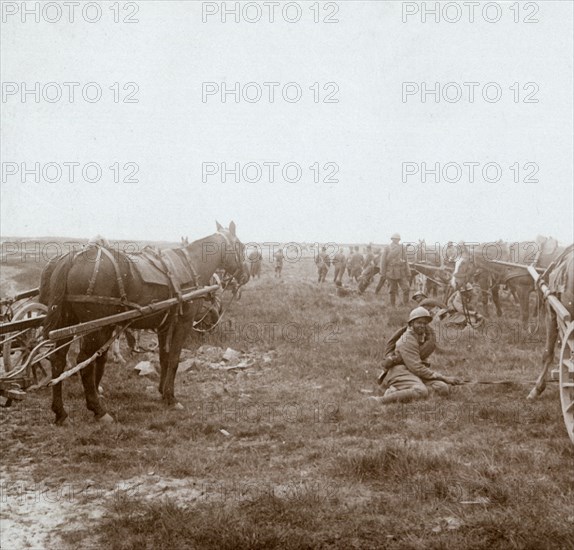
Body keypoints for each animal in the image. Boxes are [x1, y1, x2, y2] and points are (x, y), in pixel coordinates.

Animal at [39, 222, 246, 424]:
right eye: (241, 246)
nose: (244, 276)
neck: (191, 266)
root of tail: (73, 258)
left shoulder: (164, 326)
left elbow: (164, 358)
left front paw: (162, 392)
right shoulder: (183, 323)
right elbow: (174, 359)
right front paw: (171, 398)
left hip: (69, 321)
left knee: (58, 360)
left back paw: (60, 412)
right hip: (95, 327)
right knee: (84, 361)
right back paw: (98, 410)